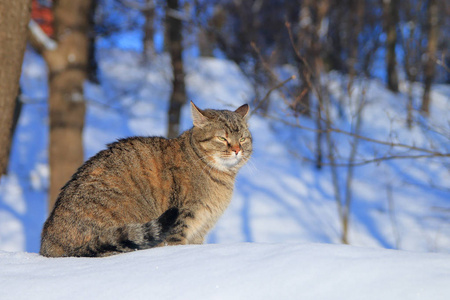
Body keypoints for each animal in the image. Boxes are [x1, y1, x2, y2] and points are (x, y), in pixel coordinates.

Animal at [40, 102, 251, 256]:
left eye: (243, 139)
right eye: (222, 138)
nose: (236, 150)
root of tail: (48, 248)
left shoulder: (200, 230)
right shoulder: (181, 225)